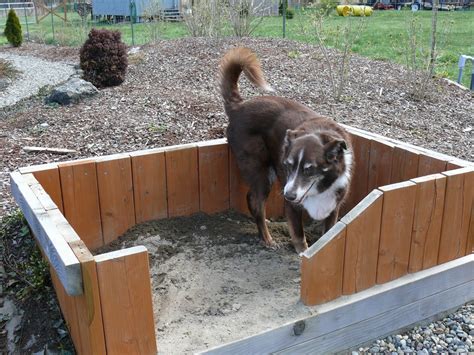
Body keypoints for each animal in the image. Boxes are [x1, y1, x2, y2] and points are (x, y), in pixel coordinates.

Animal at [218, 47, 352, 253]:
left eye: (309, 169)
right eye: (288, 166)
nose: (288, 195)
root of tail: (239, 107)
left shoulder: (333, 207)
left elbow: (326, 237)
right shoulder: (292, 207)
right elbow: (300, 239)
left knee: (252, 199)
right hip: (260, 170)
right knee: (256, 201)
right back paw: (267, 238)